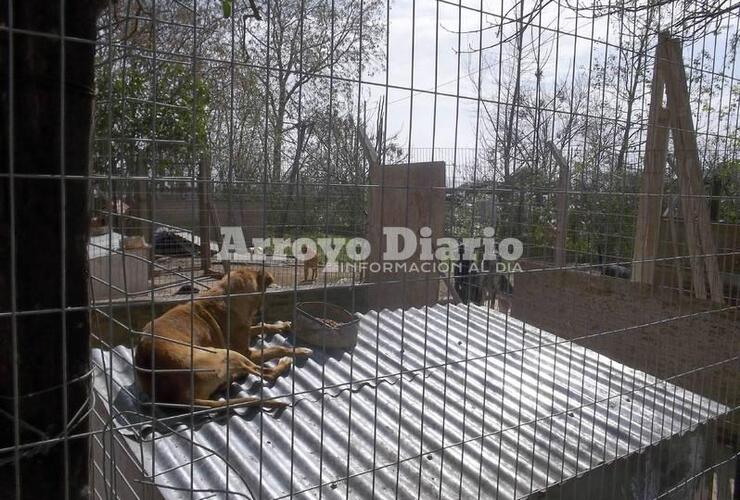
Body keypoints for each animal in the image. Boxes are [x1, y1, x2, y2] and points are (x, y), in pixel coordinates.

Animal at [133, 270, 312, 410]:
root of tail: (178, 397)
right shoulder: (246, 352)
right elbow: (277, 348)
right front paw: (299, 350)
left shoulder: (246, 328)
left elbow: (263, 326)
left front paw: (283, 325)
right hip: (228, 354)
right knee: (267, 374)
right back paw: (284, 362)